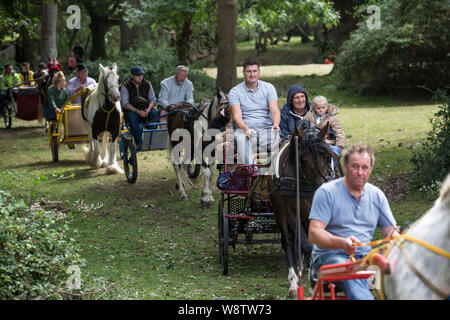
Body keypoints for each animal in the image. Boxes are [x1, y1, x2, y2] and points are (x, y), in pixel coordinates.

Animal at [268, 120, 338, 298]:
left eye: (326, 156)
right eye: (303, 158)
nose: (321, 187)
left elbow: (312, 243)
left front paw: (314, 281)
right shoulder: (291, 212)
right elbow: (305, 244)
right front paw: (301, 283)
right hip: (279, 211)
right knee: (288, 240)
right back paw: (293, 281)